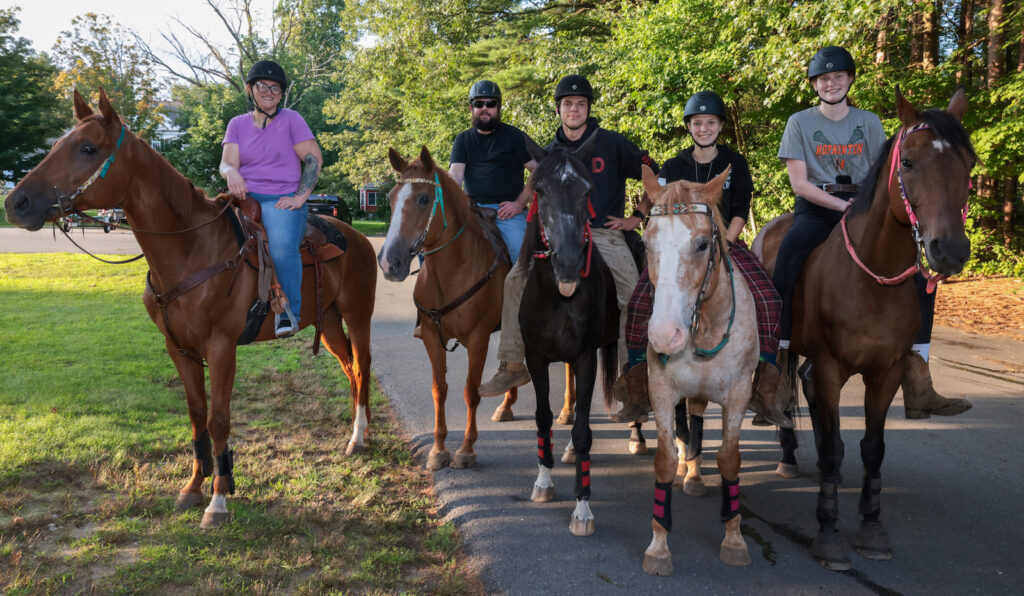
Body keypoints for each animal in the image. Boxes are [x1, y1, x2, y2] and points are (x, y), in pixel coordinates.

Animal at [2, 88, 378, 528]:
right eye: (55, 145)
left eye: (87, 148)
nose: (17, 203)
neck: (192, 248)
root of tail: (357, 236)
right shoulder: (179, 348)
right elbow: (197, 415)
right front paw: (195, 487)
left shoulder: (221, 348)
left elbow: (218, 419)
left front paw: (218, 500)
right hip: (329, 319)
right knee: (349, 367)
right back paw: (355, 434)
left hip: (357, 315)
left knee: (362, 367)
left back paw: (358, 437)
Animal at [378, 148, 528, 471]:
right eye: (390, 197)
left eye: (423, 198)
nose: (389, 262)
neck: (454, 269)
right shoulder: (432, 338)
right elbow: (440, 390)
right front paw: (437, 450)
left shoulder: (478, 339)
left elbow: (470, 391)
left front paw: (466, 450)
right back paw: (506, 405)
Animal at [638, 164, 761, 573]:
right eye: (647, 244)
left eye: (703, 244)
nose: (665, 335)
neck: (704, 327)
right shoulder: (661, 390)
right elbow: (664, 459)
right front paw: (659, 546)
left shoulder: (739, 394)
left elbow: (729, 459)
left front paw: (734, 538)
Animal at [753, 87, 974, 569]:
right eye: (907, 162)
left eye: (968, 163)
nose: (949, 249)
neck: (871, 280)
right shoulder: (832, 366)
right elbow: (836, 446)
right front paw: (828, 534)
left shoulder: (885, 371)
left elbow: (872, 448)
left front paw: (871, 528)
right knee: (787, 387)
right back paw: (786, 451)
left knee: (805, 389)